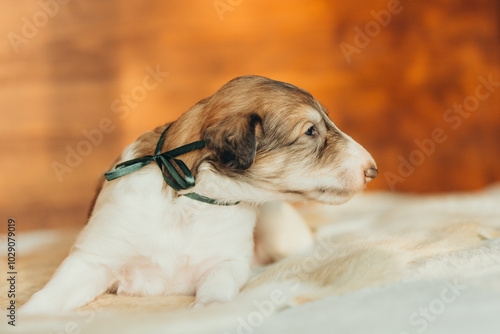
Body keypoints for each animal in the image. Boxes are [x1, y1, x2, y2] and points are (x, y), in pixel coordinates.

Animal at [22, 73, 376, 314]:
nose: (373, 170)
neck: (192, 202)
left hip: (283, 233)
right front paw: (29, 317)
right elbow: (48, 298)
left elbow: (216, 289)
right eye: (310, 131)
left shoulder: (226, 261)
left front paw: (209, 309)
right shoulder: (93, 258)